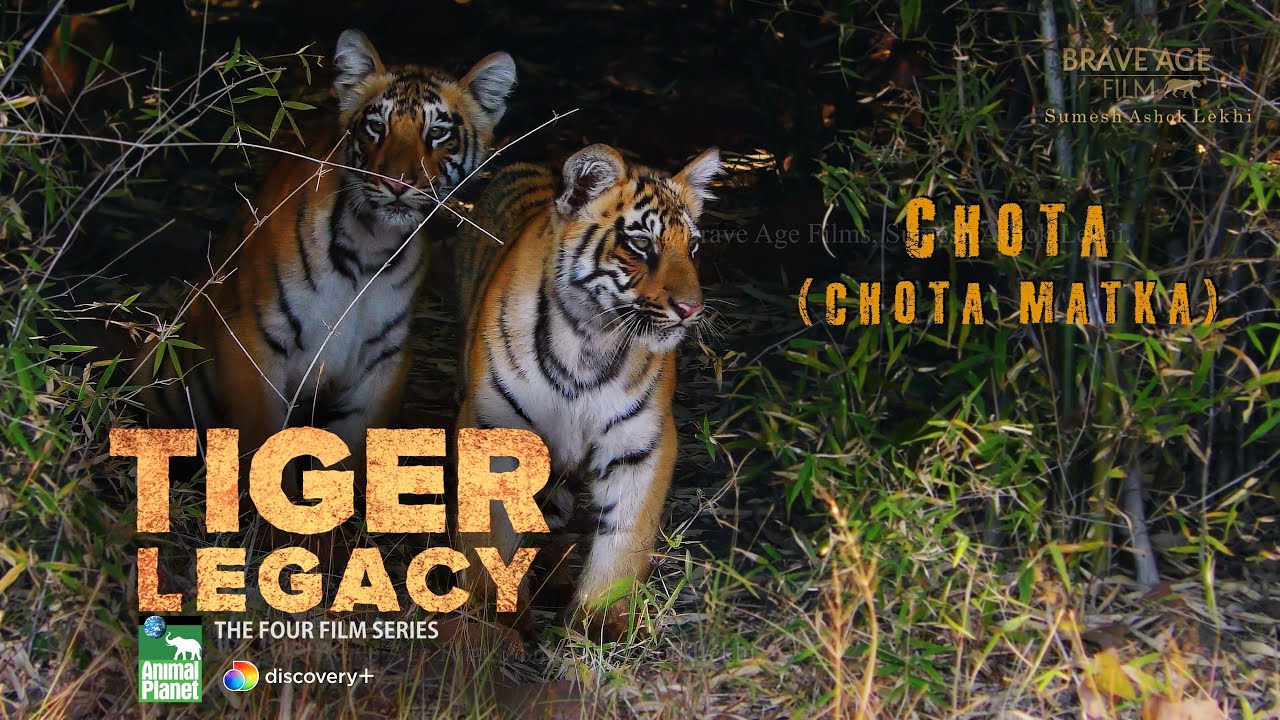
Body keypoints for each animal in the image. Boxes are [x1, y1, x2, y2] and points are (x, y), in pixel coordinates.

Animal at [141, 29, 517, 463]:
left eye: (437, 132)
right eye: (376, 126)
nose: (397, 184)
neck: (369, 249)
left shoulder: (382, 364)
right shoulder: (251, 342)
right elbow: (261, 445)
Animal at [453, 143, 721, 637]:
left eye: (692, 247)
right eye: (641, 244)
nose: (691, 309)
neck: (589, 339)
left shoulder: (641, 442)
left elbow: (625, 535)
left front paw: (600, 624)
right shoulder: (491, 430)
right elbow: (490, 531)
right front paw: (495, 616)